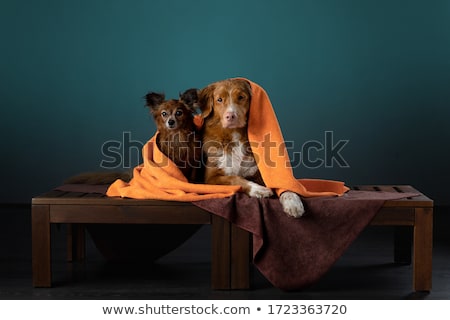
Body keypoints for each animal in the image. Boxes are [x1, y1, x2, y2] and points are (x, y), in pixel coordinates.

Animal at [198, 78, 306, 218]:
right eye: (219, 99)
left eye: (241, 97)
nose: (230, 116)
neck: (234, 135)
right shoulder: (210, 179)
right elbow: (235, 179)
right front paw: (258, 189)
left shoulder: (261, 173)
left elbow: (283, 185)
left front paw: (293, 202)